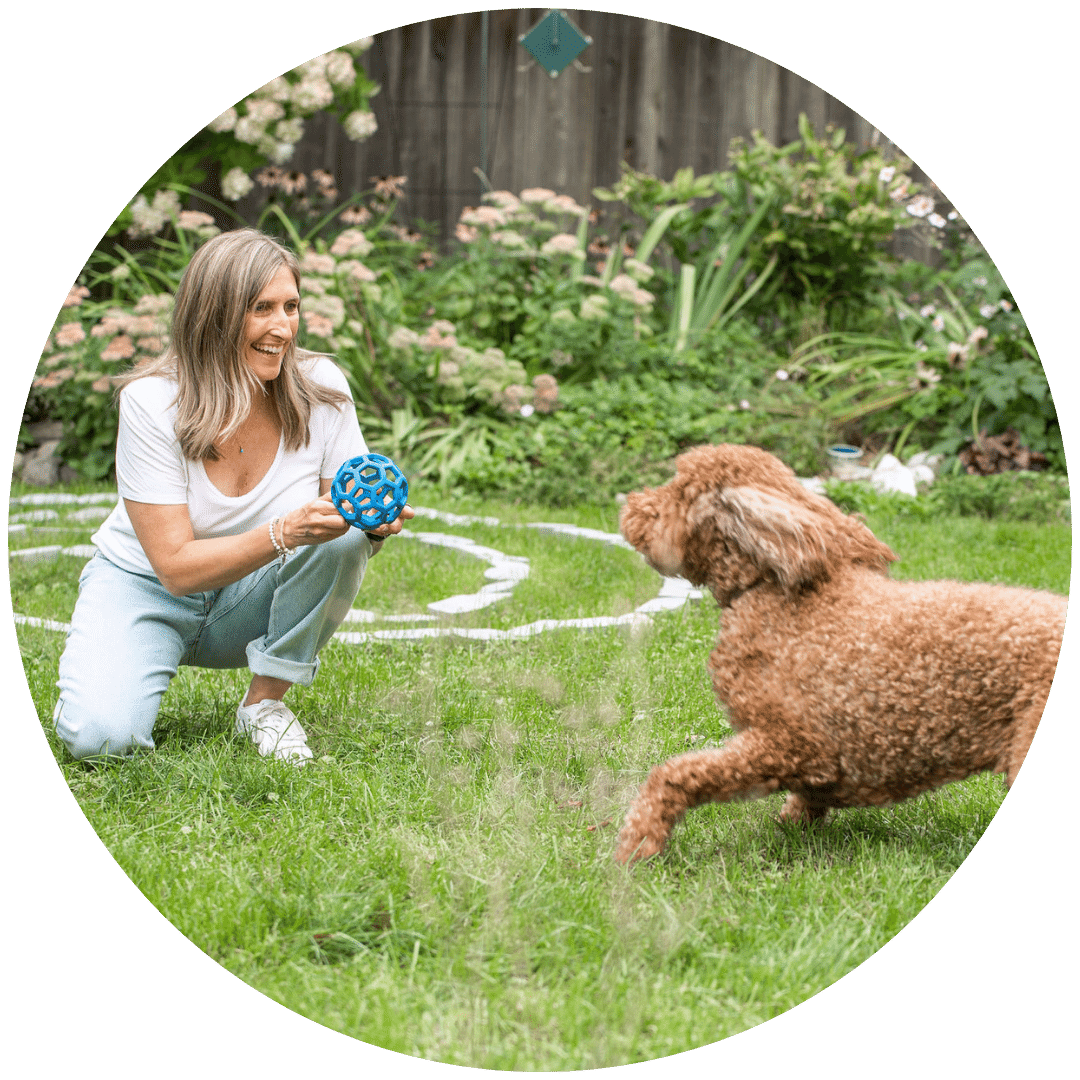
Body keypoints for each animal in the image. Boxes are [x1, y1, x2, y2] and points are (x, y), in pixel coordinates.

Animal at [613, 442, 1067, 864]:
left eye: (676, 491)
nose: (631, 505)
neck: (767, 591)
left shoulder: (791, 742)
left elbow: (674, 776)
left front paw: (637, 845)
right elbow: (805, 802)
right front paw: (790, 827)